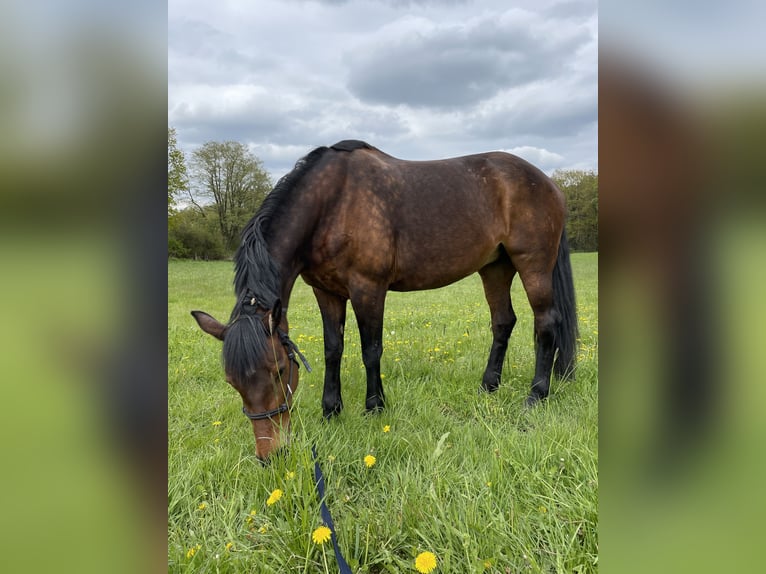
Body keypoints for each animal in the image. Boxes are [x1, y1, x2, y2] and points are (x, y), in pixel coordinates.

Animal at [190, 142, 576, 462]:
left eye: (280, 371)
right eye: (231, 382)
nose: (271, 454)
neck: (332, 202)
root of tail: (548, 183)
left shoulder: (368, 288)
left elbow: (370, 350)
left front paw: (374, 407)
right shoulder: (326, 291)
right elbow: (333, 349)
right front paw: (331, 410)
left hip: (533, 264)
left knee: (546, 323)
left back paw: (536, 395)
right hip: (495, 268)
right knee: (503, 321)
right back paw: (488, 386)